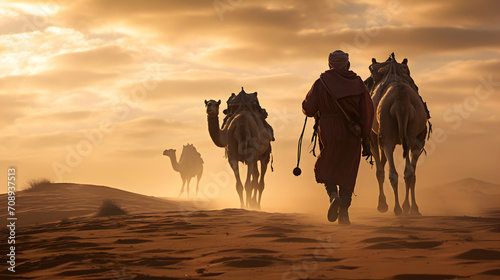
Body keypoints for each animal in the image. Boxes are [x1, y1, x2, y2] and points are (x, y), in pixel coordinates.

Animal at [366, 54, 432, 217]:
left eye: (371, 78)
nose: (366, 84)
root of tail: (401, 103)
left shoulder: (373, 136)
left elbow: (379, 171)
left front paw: (382, 204)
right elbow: (411, 173)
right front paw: (411, 207)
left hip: (388, 137)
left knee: (393, 173)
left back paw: (397, 208)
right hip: (415, 138)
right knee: (409, 173)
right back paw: (411, 208)